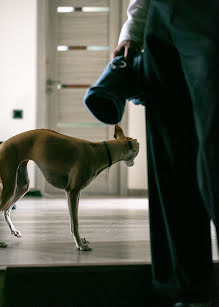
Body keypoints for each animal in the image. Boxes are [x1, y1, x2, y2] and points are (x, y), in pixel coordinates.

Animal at [0, 126, 139, 251]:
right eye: (138, 148)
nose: (133, 164)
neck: (100, 151)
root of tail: (3, 144)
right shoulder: (72, 191)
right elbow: (75, 223)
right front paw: (80, 245)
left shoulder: (77, 194)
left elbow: (74, 221)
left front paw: (81, 240)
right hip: (9, 187)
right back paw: (1, 242)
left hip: (22, 186)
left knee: (6, 210)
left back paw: (14, 230)